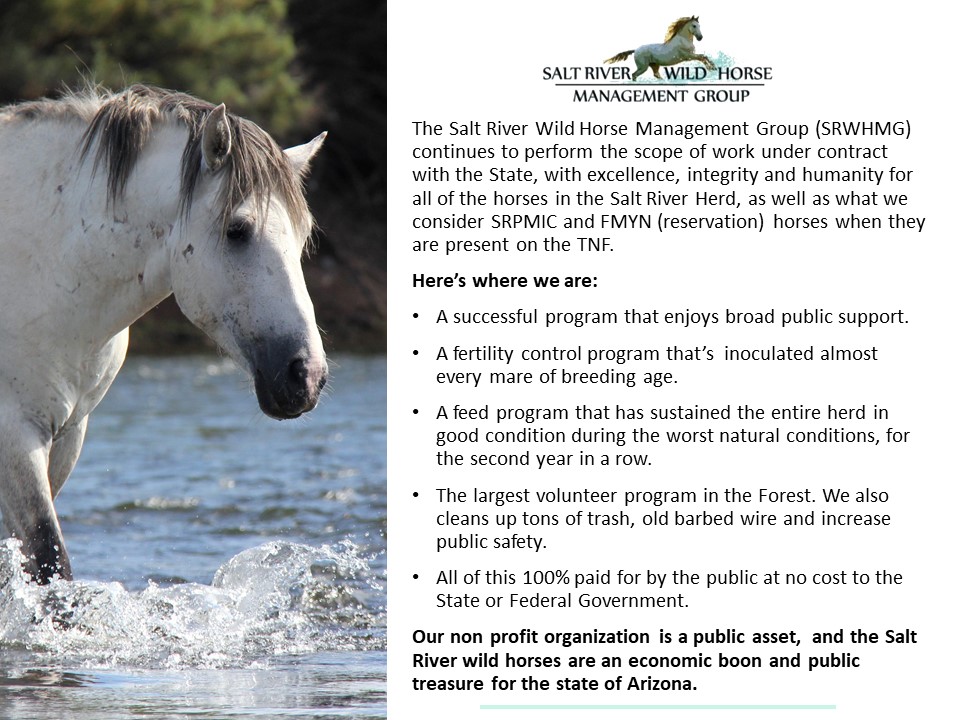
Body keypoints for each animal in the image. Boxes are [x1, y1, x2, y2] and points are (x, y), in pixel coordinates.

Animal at [0, 84, 329, 584]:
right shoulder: (15, 434)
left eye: (304, 233)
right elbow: (49, 560)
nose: (306, 375)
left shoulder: (67, 435)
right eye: (237, 230)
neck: (41, 262)